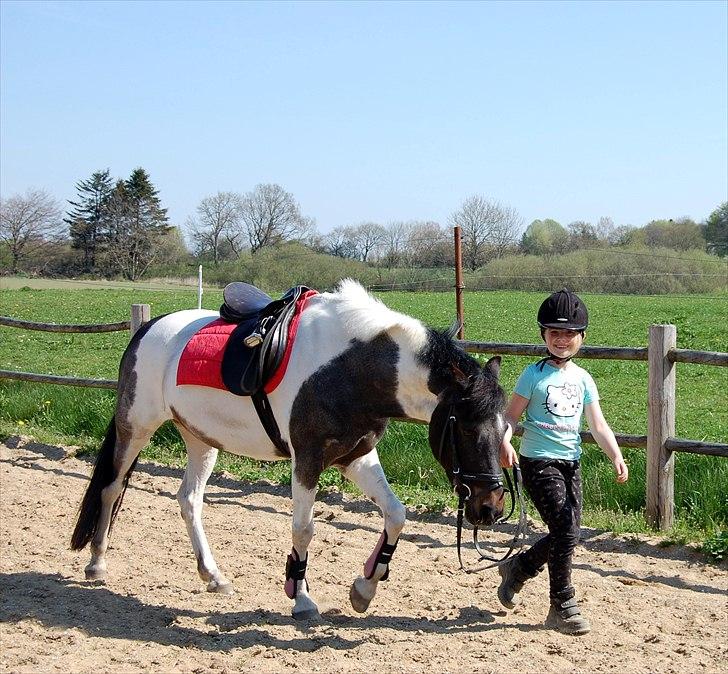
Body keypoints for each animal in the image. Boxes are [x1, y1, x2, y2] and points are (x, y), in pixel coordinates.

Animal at [72, 276, 506, 616]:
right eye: (467, 429)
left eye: (504, 429)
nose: (490, 508)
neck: (350, 368)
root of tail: (148, 328)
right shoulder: (308, 460)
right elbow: (303, 529)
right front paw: (301, 597)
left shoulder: (356, 457)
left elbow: (396, 515)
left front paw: (364, 587)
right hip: (136, 426)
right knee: (111, 487)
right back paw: (97, 563)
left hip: (199, 438)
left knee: (189, 499)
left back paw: (213, 575)